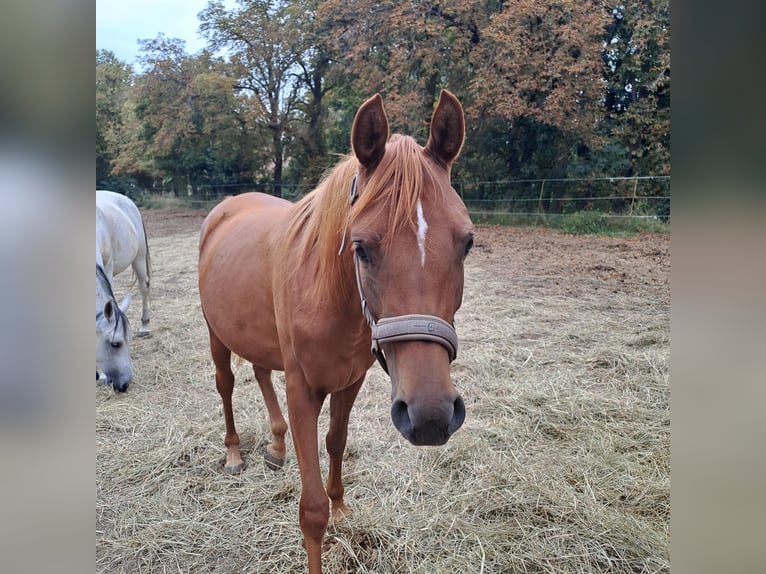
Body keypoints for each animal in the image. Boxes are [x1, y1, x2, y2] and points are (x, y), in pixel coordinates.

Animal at [198, 91, 473, 573]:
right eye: (360, 247)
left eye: (467, 243)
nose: (431, 417)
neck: (330, 298)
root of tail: (226, 208)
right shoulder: (303, 390)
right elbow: (311, 511)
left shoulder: (351, 381)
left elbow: (336, 442)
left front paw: (342, 509)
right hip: (217, 336)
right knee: (226, 385)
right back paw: (233, 453)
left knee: (260, 373)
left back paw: (276, 447)